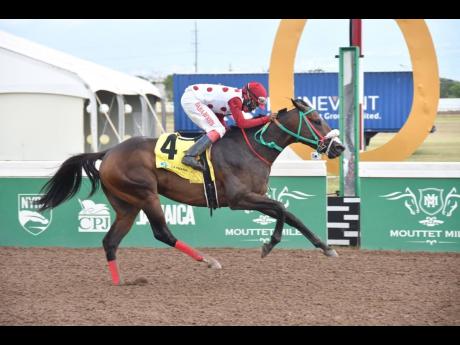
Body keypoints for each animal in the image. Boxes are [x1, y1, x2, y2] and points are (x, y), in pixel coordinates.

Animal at [37, 98, 344, 284]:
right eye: (317, 120)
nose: (339, 147)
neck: (252, 147)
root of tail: (109, 151)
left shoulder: (254, 197)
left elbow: (292, 216)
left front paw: (326, 247)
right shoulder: (240, 199)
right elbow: (281, 209)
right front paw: (269, 245)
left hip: (127, 205)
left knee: (110, 241)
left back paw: (119, 282)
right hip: (146, 194)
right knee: (162, 233)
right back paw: (208, 260)